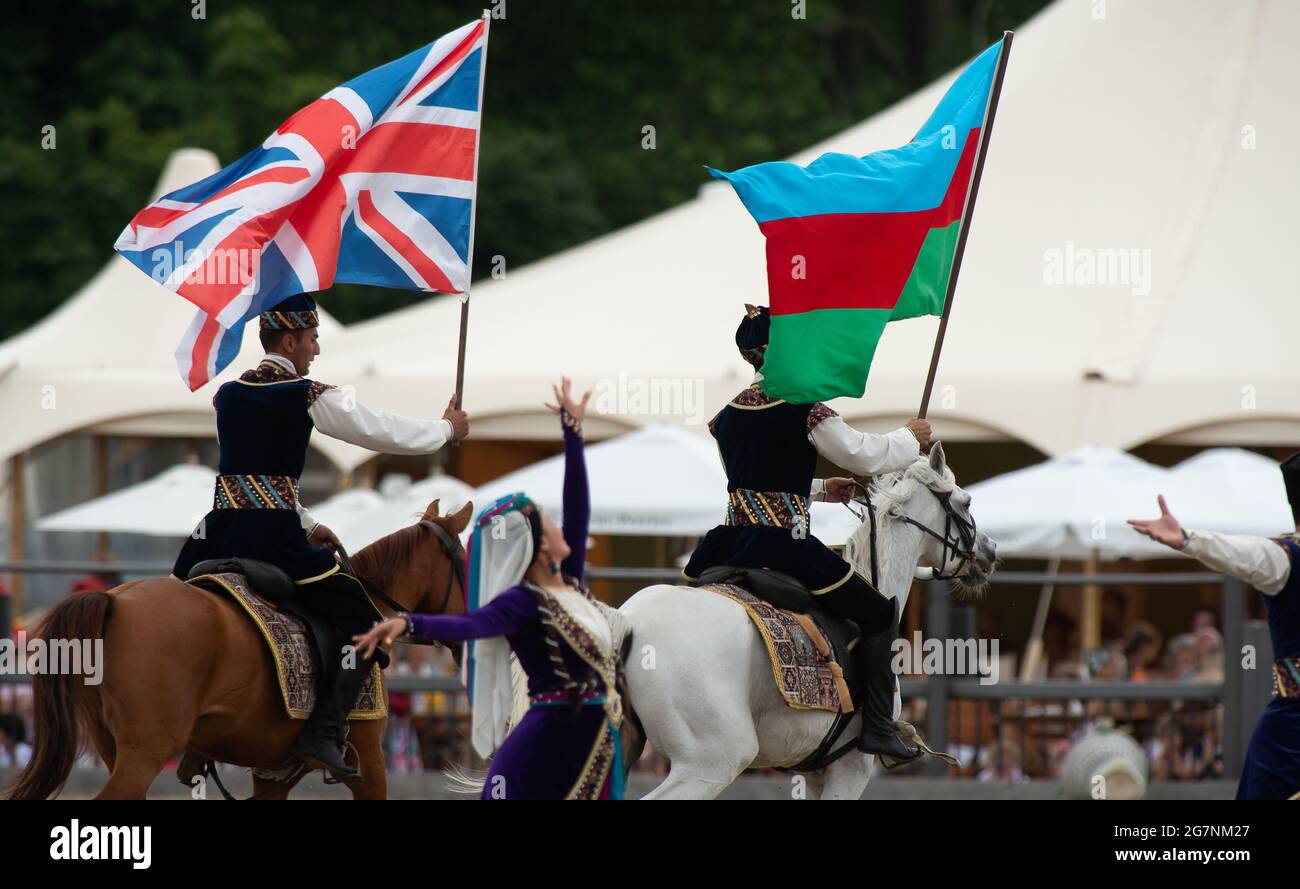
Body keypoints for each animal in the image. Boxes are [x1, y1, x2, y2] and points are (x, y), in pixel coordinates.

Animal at [3, 496, 473, 800]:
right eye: (468, 564)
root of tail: (113, 600)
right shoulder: (371, 765)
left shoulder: (272, 775)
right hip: (144, 752)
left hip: (113, 747)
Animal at [618, 441, 993, 800]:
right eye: (967, 502)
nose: (989, 550)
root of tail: (629, 621)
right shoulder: (851, 766)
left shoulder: (811, 770)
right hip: (712, 763)